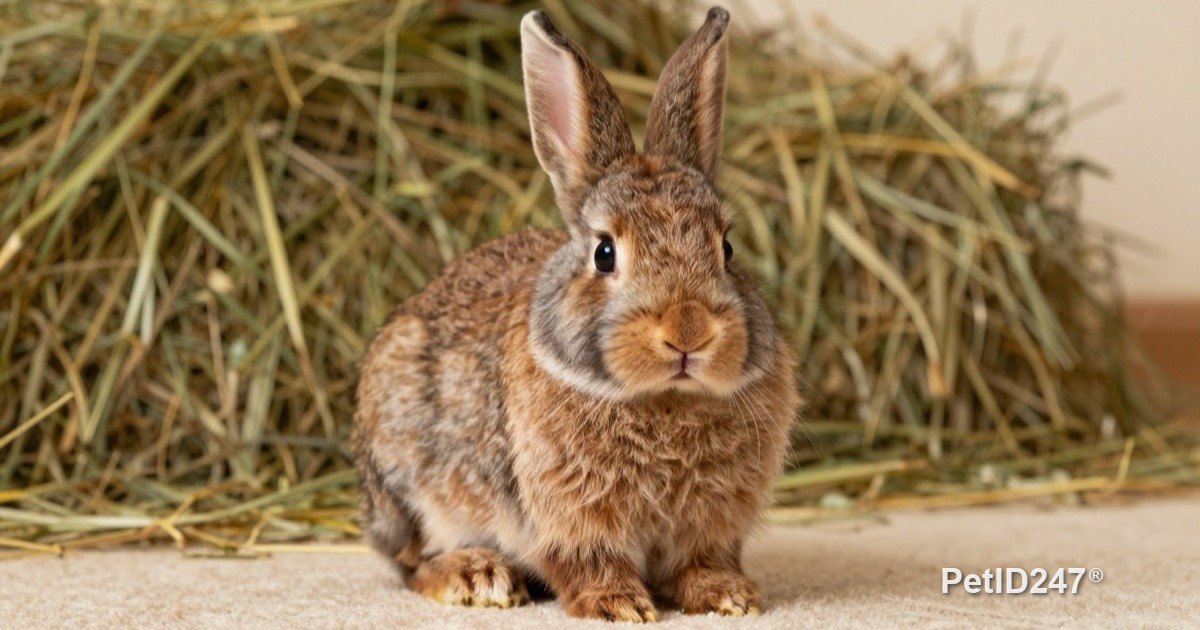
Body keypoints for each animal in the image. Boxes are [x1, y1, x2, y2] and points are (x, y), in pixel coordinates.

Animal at [352, 6, 799, 622]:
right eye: (604, 252)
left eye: (726, 247)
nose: (687, 332)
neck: (665, 399)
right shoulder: (570, 517)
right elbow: (588, 561)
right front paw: (619, 606)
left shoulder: (709, 525)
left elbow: (702, 561)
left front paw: (729, 596)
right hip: (408, 478)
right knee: (412, 564)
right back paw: (479, 576)